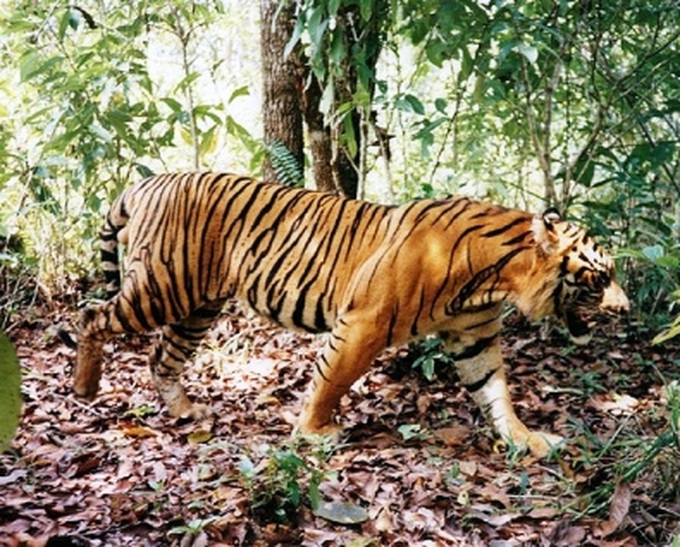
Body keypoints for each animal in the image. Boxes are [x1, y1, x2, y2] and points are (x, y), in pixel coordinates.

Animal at [69, 172, 629, 458]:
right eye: (601, 277)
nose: (626, 308)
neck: (495, 279)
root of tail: (145, 182)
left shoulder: (473, 337)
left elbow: (495, 392)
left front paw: (527, 439)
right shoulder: (365, 322)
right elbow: (332, 379)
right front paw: (314, 433)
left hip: (196, 304)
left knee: (161, 357)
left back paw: (185, 411)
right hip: (163, 288)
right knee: (90, 316)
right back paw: (85, 388)